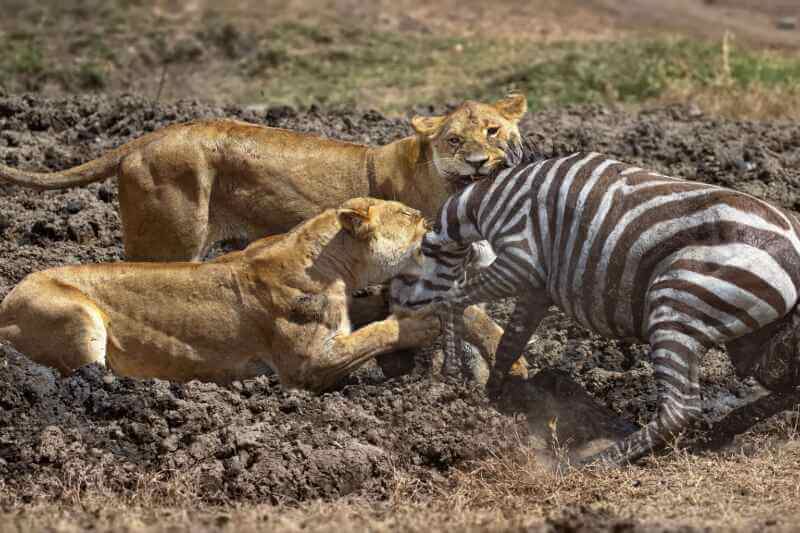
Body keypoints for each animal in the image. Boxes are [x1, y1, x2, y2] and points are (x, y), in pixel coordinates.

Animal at [0, 198, 517, 391]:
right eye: (411, 216)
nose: (433, 218)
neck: (330, 262)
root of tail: (6, 302)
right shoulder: (307, 365)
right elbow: (375, 333)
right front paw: (419, 323)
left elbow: (368, 315)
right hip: (78, 316)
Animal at [394, 147, 800, 465]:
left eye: (411, 264)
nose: (400, 310)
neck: (489, 199)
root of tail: (791, 247)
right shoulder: (537, 287)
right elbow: (511, 341)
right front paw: (492, 397)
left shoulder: (521, 264)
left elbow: (453, 298)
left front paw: (452, 372)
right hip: (758, 339)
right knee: (786, 386)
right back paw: (719, 433)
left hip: (678, 305)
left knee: (680, 409)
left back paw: (599, 461)